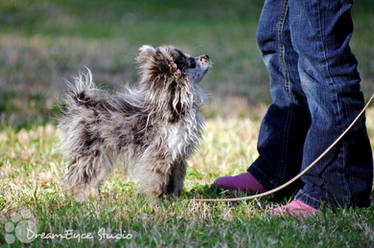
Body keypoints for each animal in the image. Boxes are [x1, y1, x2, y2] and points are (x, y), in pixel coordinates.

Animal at [58, 45, 210, 202]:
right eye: (191, 62)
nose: (206, 56)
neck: (175, 105)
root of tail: (82, 106)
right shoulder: (158, 154)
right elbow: (157, 179)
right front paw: (156, 201)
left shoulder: (177, 156)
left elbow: (176, 179)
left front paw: (174, 199)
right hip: (91, 150)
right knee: (79, 174)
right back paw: (80, 196)